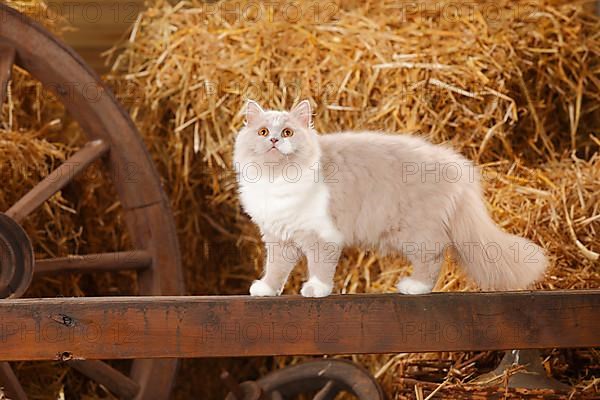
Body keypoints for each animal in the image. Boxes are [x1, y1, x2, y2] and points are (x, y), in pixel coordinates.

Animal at [234, 98, 548, 296]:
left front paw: (316, 290)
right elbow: (276, 269)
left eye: (287, 132)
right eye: (263, 131)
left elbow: (320, 266)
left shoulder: (322, 235)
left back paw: (414, 287)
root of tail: (457, 166)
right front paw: (266, 289)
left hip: (416, 233)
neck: (277, 179)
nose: (274, 140)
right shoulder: (279, 237)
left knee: (434, 257)